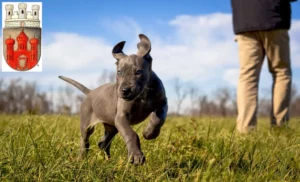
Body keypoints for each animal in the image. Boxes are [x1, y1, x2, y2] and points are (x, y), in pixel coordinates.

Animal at [57, 34, 168, 165]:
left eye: (138, 72)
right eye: (119, 72)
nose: (125, 90)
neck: (143, 94)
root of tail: (91, 92)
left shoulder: (163, 102)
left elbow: (159, 119)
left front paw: (149, 133)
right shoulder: (121, 117)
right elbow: (131, 134)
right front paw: (136, 155)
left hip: (112, 126)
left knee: (103, 143)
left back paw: (108, 161)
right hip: (87, 124)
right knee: (85, 141)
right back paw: (81, 159)